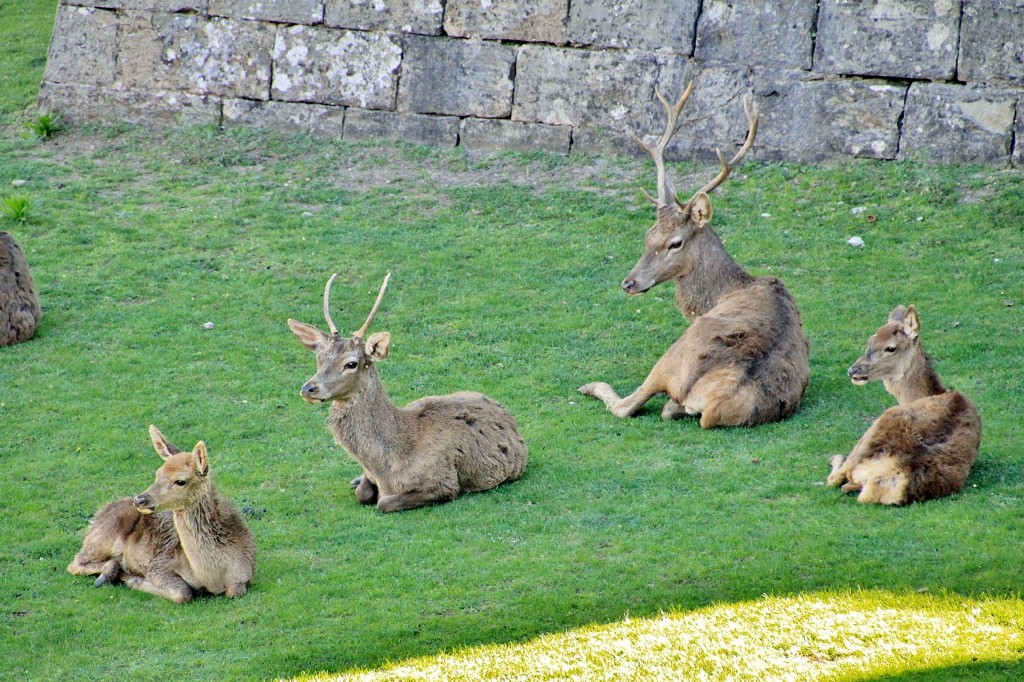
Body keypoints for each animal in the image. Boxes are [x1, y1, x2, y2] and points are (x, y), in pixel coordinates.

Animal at [68, 425, 256, 602]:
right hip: (103, 537)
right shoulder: (158, 565)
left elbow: (235, 592)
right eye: (157, 473)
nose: (140, 499)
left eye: (180, 481)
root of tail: (95, 519)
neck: (213, 578)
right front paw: (135, 582)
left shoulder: (246, 575)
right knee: (75, 563)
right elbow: (183, 592)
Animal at [288, 270, 528, 509]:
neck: (388, 465)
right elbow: (362, 493)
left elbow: (383, 503)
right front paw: (359, 482)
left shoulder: (444, 482)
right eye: (319, 357)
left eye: (351, 363)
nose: (308, 388)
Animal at [581, 82, 811, 428]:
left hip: (671, 358)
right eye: (648, 235)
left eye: (675, 243)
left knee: (628, 405)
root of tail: (716, 402)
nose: (629, 283)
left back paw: (590, 385)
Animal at [827, 305, 978, 501]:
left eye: (891, 348)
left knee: (835, 478)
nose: (853, 370)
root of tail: (898, 467)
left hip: (880, 422)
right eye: (870, 340)